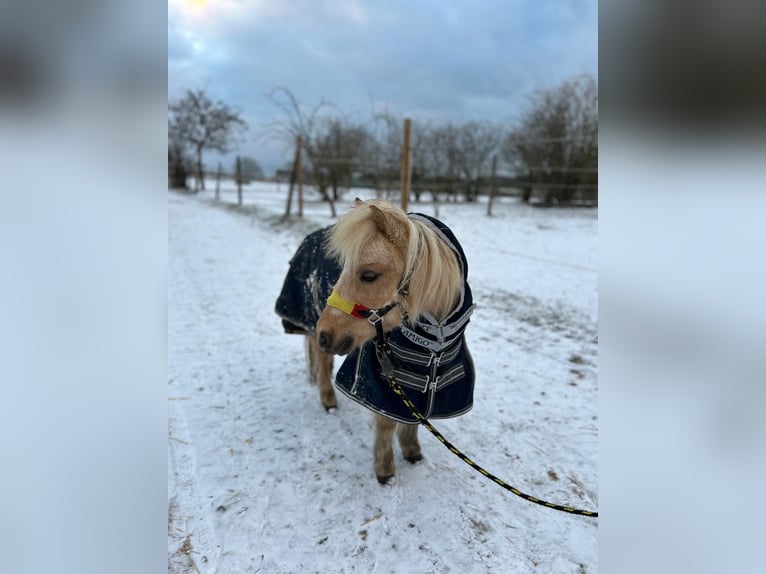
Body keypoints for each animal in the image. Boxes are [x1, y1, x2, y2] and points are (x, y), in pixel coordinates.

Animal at [275, 198, 475, 484]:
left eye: (369, 275)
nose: (326, 333)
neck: (433, 343)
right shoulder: (382, 382)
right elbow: (386, 423)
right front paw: (385, 470)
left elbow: (414, 418)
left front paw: (412, 452)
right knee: (322, 361)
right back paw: (328, 400)